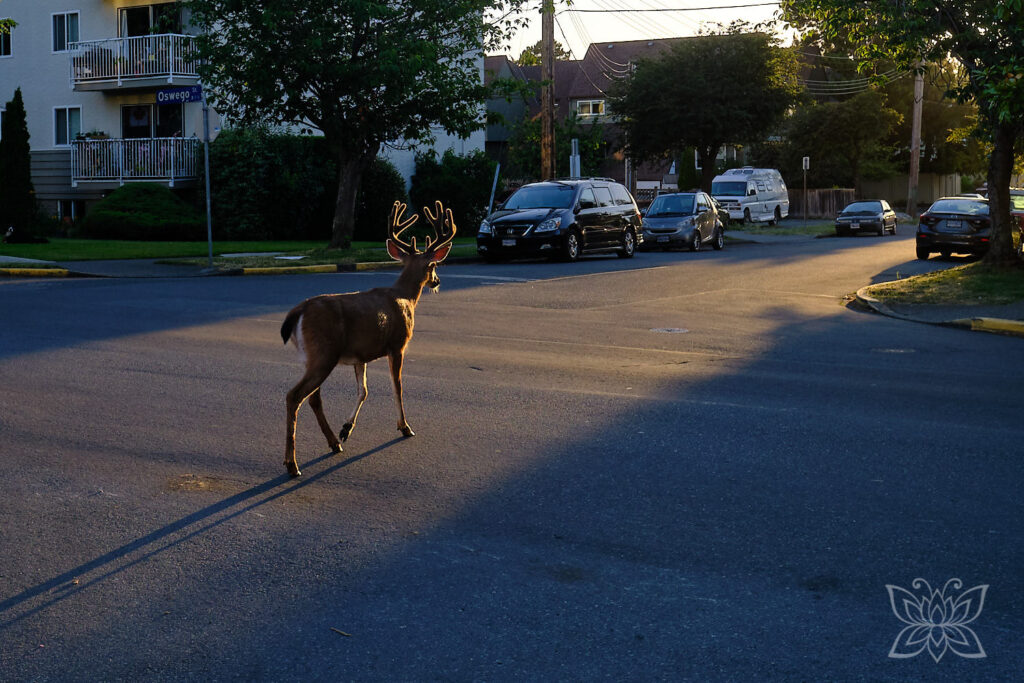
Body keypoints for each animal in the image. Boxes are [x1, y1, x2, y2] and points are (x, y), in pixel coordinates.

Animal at [280, 200, 457, 477]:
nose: (437, 282)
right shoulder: (397, 345)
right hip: (324, 353)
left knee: (314, 398)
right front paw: (405, 427)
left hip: (311, 356)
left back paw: (334, 443)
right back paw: (292, 464)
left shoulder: (359, 356)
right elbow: (398, 387)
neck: (406, 297)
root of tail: (299, 310)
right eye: (434, 266)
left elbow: (363, 390)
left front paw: (346, 429)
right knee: (294, 396)